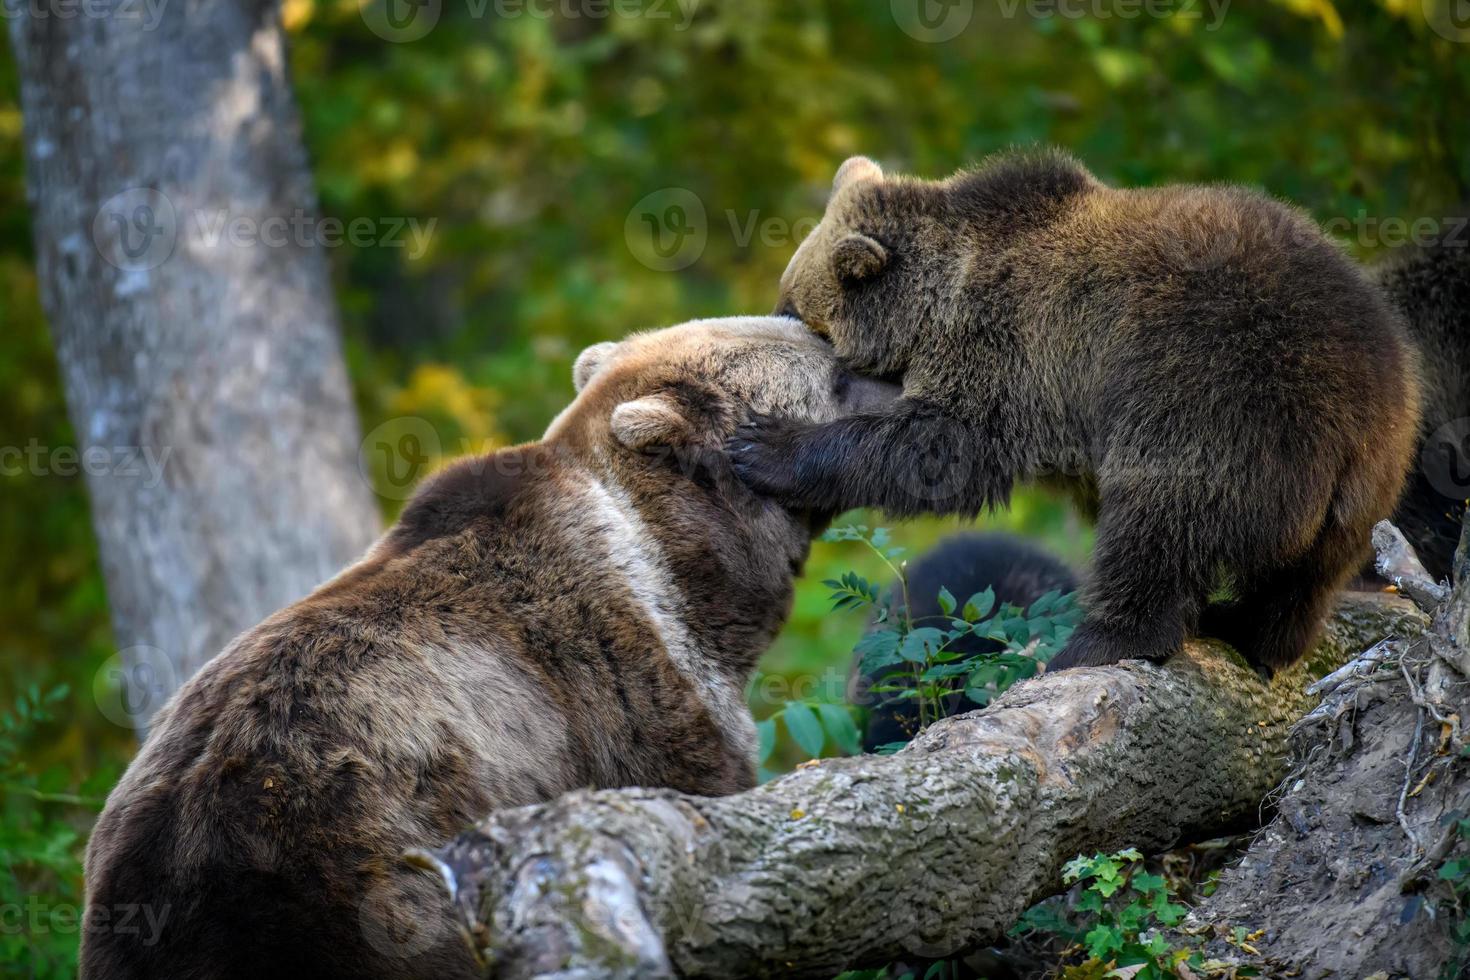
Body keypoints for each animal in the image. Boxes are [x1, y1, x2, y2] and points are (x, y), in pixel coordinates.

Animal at [83, 314, 893, 980]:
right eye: (835, 373)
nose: (897, 383)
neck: (690, 573)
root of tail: (180, 851)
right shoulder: (627, 695)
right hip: (367, 881)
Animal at [735, 149, 1422, 678]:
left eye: (796, 306)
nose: (775, 318)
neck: (937, 298)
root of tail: (1358, 413)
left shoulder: (1007, 345)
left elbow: (941, 446)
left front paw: (765, 446)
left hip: (1211, 397)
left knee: (1158, 521)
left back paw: (1093, 645)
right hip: (1368, 478)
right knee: (1301, 581)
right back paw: (1247, 631)